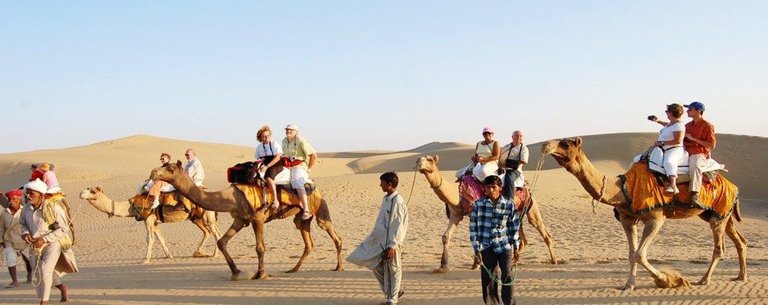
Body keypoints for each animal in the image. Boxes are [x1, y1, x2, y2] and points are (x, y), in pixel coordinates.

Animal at [79, 186, 222, 262]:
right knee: (211, 232)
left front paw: (145, 260)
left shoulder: (148, 219)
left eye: (93, 191)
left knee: (214, 233)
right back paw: (201, 252)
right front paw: (169, 256)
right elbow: (161, 238)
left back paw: (214, 255)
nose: (81, 194)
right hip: (198, 218)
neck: (130, 206)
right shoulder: (155, 222)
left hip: (206, 215)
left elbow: (150, 239)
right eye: (87, 188)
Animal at [150, 160, 342, 280]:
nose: (153, 172)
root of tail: (314, 187)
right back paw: (293, 269)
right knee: (307, 239)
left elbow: (260, 248)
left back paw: (339, 267)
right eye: (163, 164)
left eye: (171, 169)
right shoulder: (240, 220)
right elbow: (222, 242)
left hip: (319, 206)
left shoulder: (257, 218)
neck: (231, 197)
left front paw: (261, 274)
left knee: (333, 233)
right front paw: (236, 271)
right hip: (301, 217)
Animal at [416, 154, 556, 270]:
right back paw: (513, 260)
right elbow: (446, 236)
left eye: (430, 160)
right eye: (418, 160)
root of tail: (526, 188)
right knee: (523, 240)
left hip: (531, 208)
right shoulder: (455, 214)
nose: (419, 165)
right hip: (518, 216)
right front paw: (443, 266)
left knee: (542, 231)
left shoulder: (474, 211)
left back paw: (554, 260)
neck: (457, 193)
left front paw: (476, 264)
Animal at [540, 138, 744, 290]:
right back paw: (741, 277)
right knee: (739, 241)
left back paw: (704, 280)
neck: (624, 189)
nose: (545, 145)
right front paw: (629, 285)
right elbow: (632, 253)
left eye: (566, 144)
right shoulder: (627, 219)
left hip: (718, 215)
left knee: (719, 248)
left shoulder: (655, 218)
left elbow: (640, 254)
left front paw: (671, 280)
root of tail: (734, 186)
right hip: (718, 213)